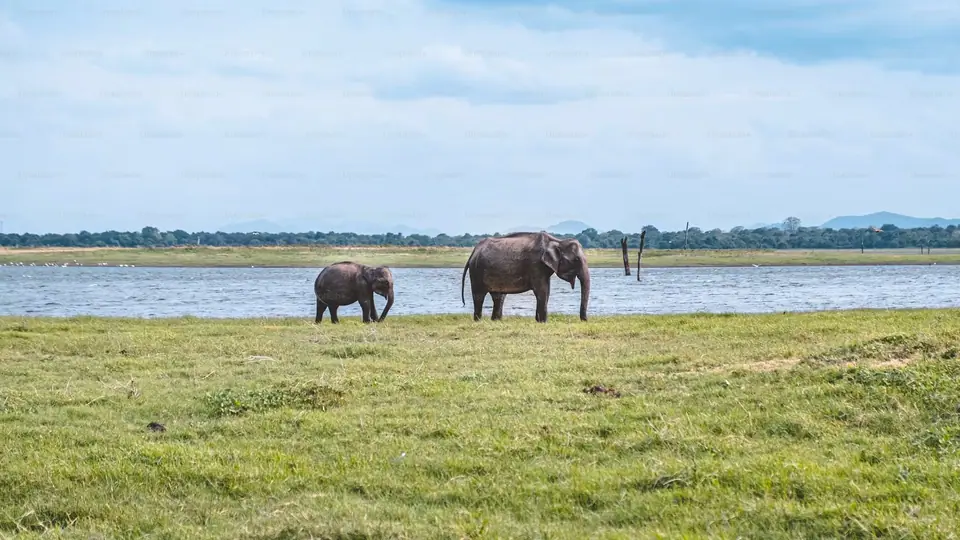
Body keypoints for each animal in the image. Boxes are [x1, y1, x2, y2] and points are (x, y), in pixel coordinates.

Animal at [460, 231, 591, 322]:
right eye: (576, 259)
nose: (584, 320)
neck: (557, 241)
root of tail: (474, 250)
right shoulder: (536, 265)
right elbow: (542, 291)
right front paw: (543, 322)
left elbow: (546, 291)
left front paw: (538, 321)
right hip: (476, 271)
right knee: (479, 296)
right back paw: (478, 321)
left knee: (498, 297)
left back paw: (496, 321)